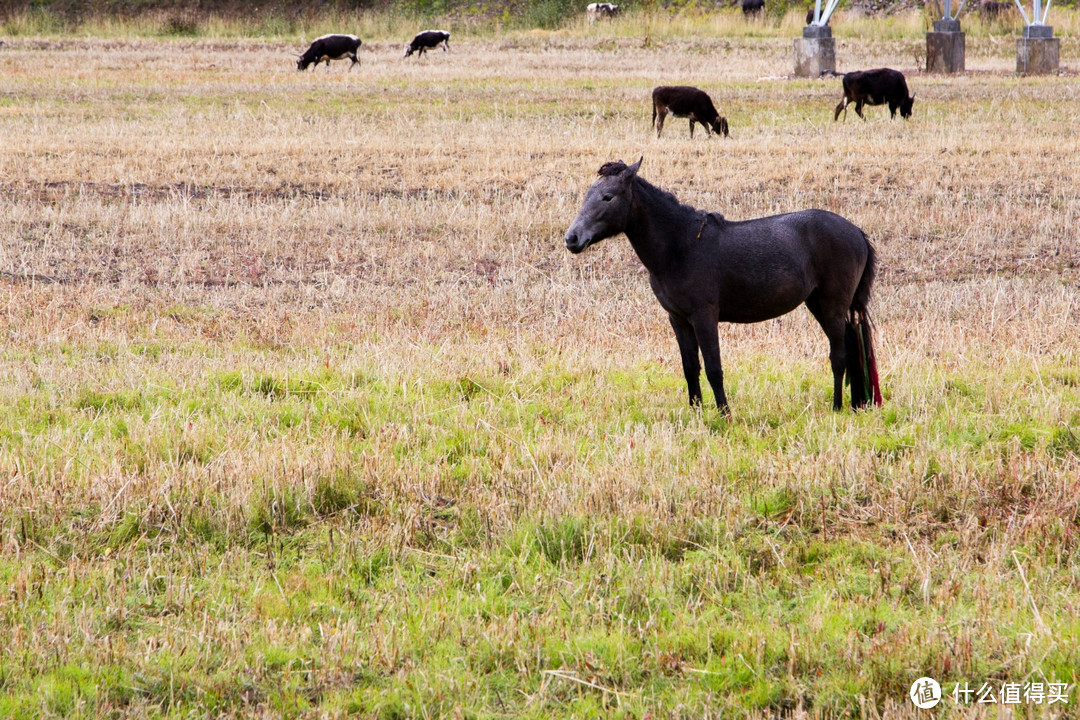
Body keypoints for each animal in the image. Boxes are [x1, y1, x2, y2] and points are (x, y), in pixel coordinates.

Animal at [561, 160, 881, 414]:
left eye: (607, 197)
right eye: (587, 195)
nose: (572, 238)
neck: (681, 245)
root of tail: (856, 232)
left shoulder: (704, 316)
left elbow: (714, 368)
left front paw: (724, 414)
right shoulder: (678, 319)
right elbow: (690, 368)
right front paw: (696, 412)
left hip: (832, 305)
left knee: (839, 355)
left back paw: (837, 407)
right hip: (818, 304)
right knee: (850, 347)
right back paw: (857, 404)